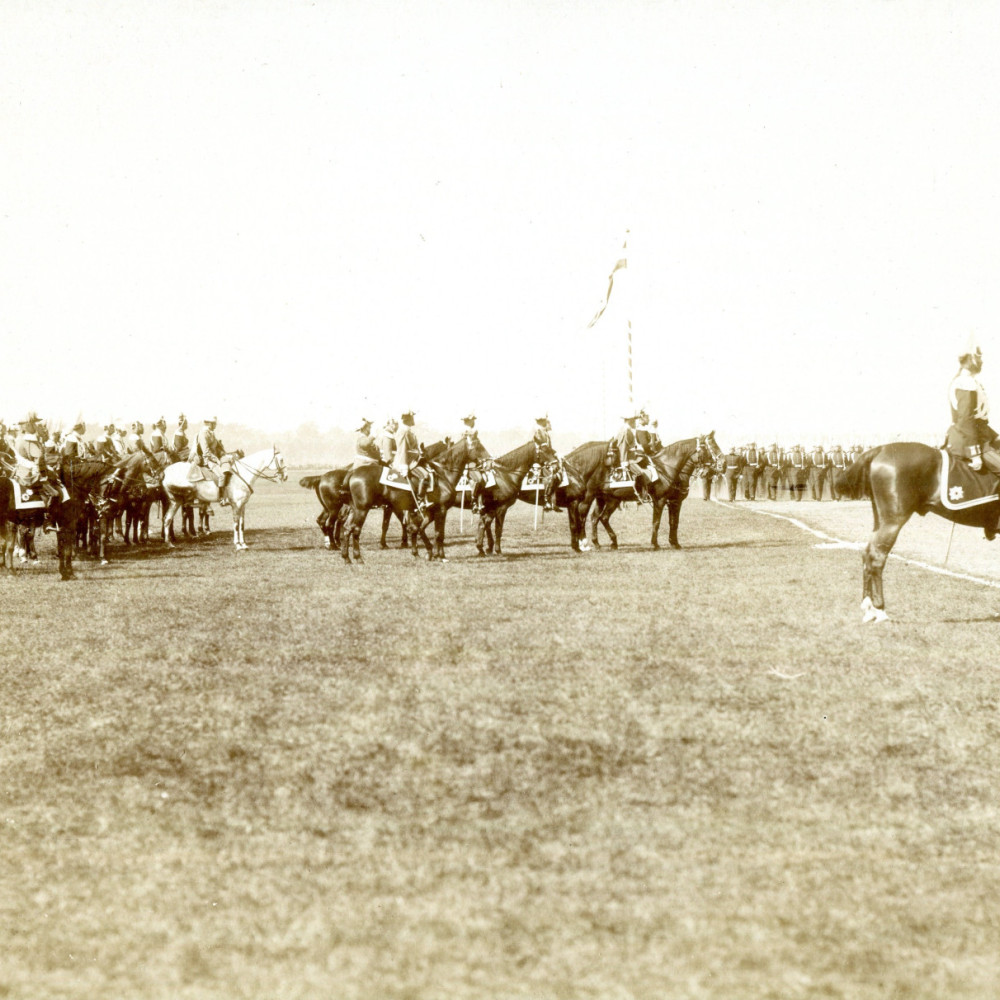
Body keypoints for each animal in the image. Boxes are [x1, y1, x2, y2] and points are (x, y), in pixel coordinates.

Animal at [836, 444, 1000, 620]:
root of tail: (880, 449)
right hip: (893, 522)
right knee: (877, 557)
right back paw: (879, 608)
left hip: (880, 520)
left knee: (867, 554)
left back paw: (868, 605)